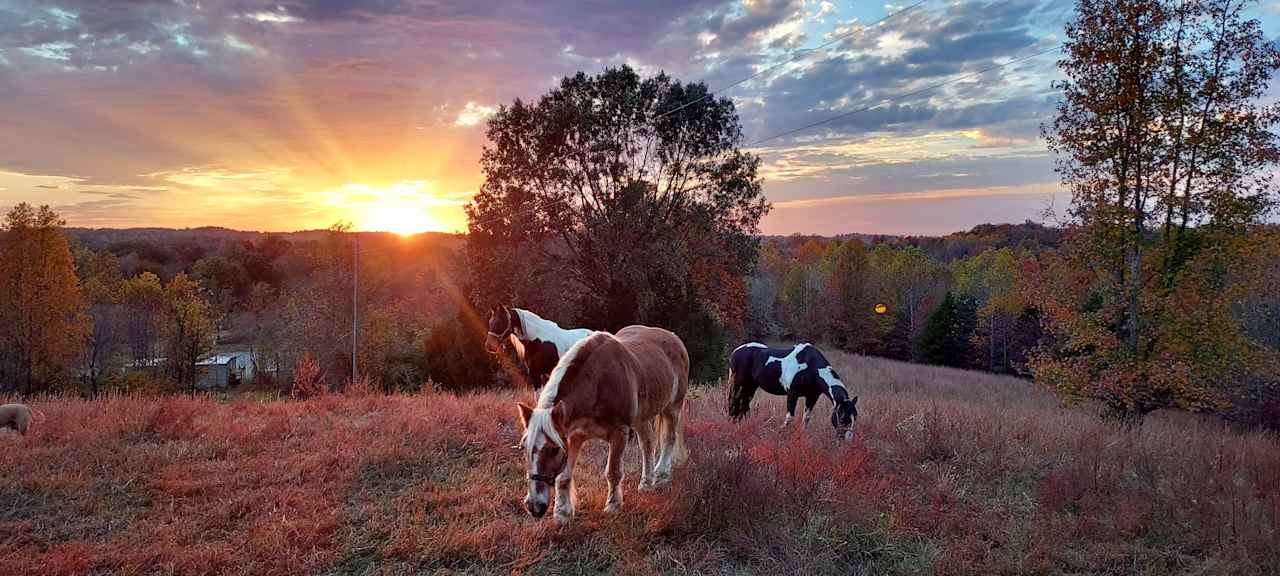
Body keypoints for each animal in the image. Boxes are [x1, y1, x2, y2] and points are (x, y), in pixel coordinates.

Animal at [514, 323, 691, 522]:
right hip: (641, 418)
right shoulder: (573, 436)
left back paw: (661, 475)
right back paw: (646, 483)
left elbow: (613, 471)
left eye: (553, 450)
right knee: (647, 444)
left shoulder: (619, 433)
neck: (598, 381)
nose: (534, 506)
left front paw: (612, 506)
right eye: (523, 448)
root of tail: (673, 337)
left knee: (669, 439)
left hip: (672, 408)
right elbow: (564, 476)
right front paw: (562, 513)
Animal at [732, 343, 860, 440]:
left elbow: (806, 417)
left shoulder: (812, 396)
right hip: (740, 385)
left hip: (751, 386)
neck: (810, 367)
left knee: (744, 405)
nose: (847, 439)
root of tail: (736, 351)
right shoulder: (792, 394)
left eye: (855, 416)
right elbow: (790, 417)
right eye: (842, 418)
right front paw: (780, 433)